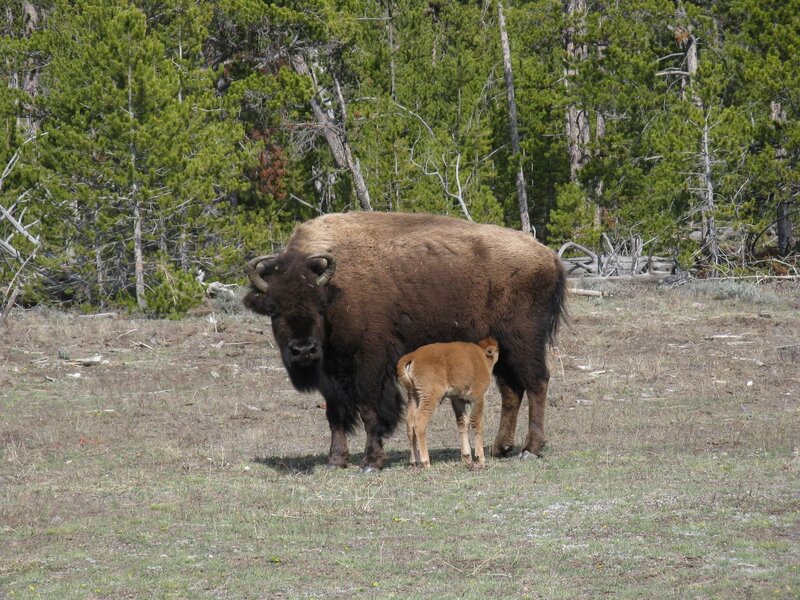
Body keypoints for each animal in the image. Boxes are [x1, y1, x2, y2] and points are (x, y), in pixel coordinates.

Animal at [397, 337, 500, 469]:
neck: (482, 355)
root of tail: (414, 355)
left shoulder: (457, 400)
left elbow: (463, 423)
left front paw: (467, 457)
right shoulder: (478, 398)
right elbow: (477, 423)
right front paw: (480, 458)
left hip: (414, 396)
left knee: (410, 423)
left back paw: (414, 461)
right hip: (430, 397)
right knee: (419, 422)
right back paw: (426, 462)